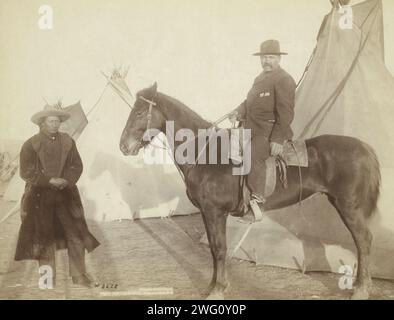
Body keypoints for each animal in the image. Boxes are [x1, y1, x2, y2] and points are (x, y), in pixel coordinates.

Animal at [118, 83, 380, 300]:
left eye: (139, 112)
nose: (123, 146)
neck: (206, 153)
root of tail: (364, 147)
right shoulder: (207, 213)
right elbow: (213, 249)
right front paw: (213, 285)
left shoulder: (215, 212)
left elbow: (219, 249)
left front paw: (218, 289)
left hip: (348, 206)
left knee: (363, 241)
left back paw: (361, 290)